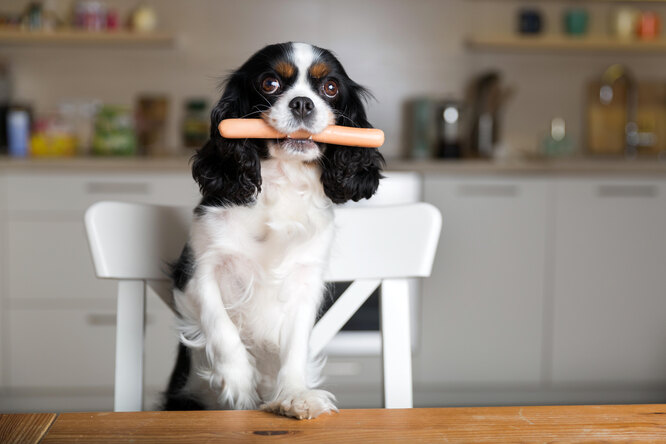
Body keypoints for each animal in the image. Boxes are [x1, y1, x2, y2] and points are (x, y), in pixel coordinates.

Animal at [162, 42, 384, 420]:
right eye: (270, 83)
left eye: (330, 88)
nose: (303, 103)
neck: (282, 179)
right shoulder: (197, 269)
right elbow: (220, 324)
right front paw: (238, 380)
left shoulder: (305, 282)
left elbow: (295, 346)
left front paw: (295, 395)